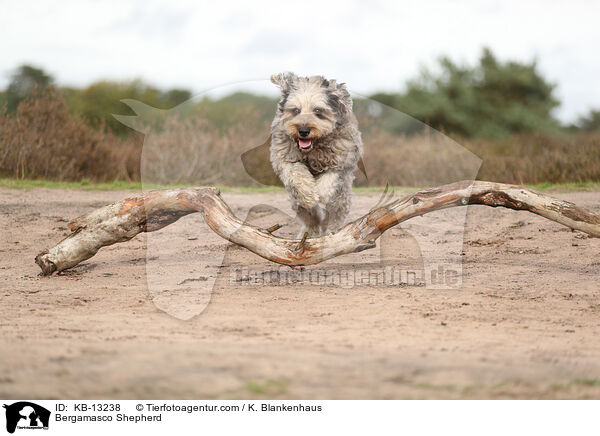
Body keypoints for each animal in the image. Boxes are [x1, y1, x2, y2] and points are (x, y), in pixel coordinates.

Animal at [270, 73, 364, 237]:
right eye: (296, 110)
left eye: (318, 111)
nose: (303, 130)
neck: (313, 149)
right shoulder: (285, 158)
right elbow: (296, 174)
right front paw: (310, 195)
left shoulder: (341, 160)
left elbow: (329, 180)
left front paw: (320, 193)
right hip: (296, 201)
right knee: (310, 216)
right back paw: (310, 232)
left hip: (342, 194)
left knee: (336, 213)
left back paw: (330, 230)